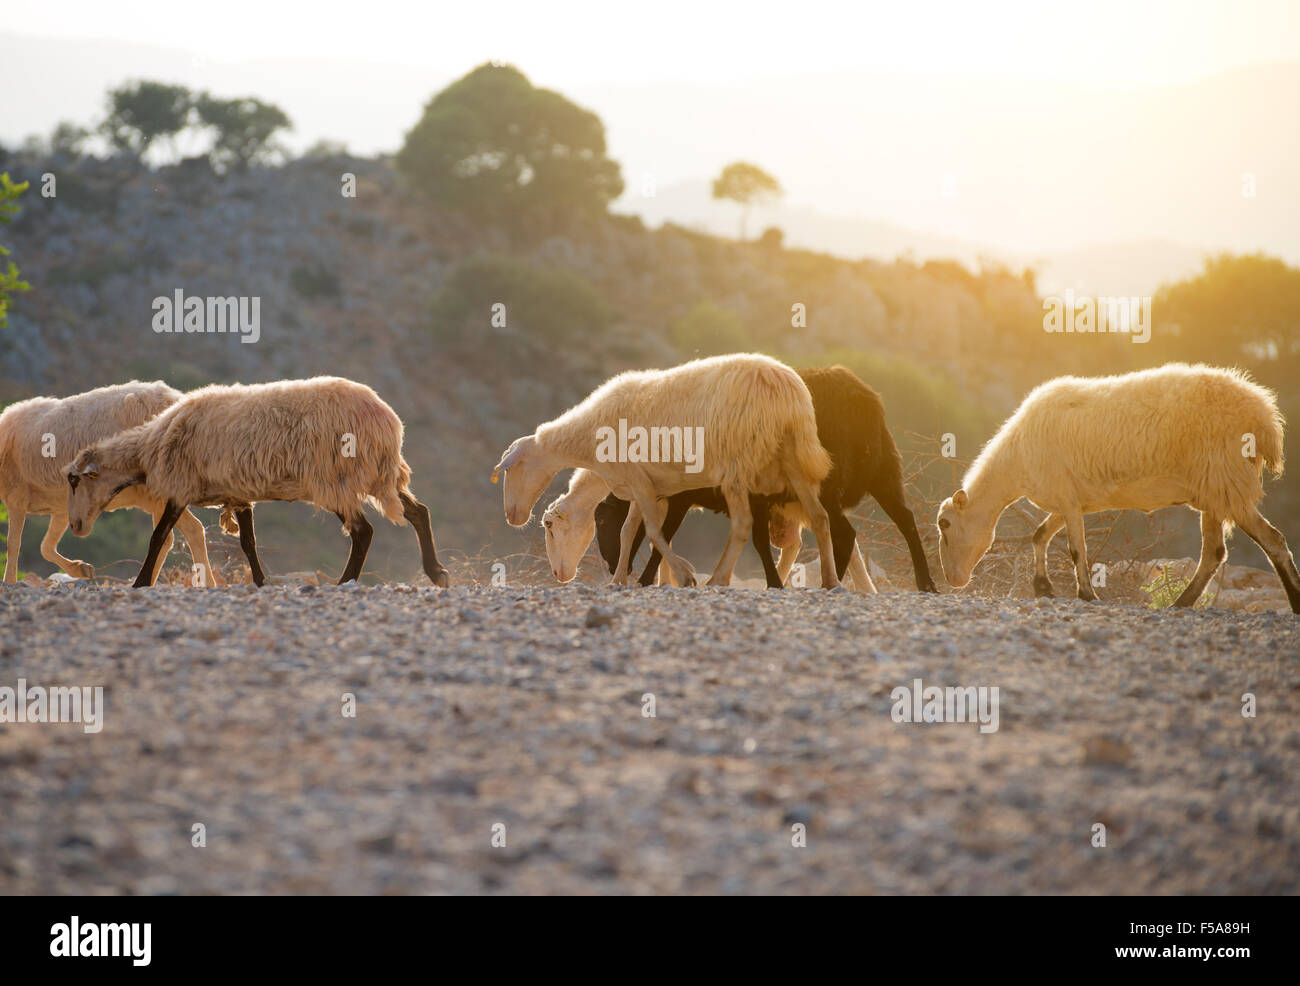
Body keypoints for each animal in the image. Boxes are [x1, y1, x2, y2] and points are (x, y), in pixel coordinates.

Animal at [1, 380, 218, 586]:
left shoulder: (16, 498)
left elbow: (13, 544)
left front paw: (9, 581)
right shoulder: (65, 509)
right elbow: (46, 546)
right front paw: (81, 569)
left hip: (154, 492)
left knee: (180, 533)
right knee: (188, 532)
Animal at [65, 376, 450, 589]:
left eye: (74, 481)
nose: (76, 526)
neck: (148, 447)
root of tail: (388, 420)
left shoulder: (180, 487)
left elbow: (157, 538)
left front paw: (141, 582)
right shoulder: (238, 494)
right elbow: (248, 543)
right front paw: (261, 581)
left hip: (336, 479)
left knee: (363, 532)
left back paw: (346, 582)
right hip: (377, 476)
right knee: (419, 512)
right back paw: (436, 572)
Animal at [493, 353, 841, 588]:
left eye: (549, 526)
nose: (512, 517)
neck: (588, 439)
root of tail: (784, 389)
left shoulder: (643, 485)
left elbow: (652, 533)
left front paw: (683, 576)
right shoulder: (643, 487)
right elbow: (630, 531)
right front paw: (620, 580)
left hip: (737, 467)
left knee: (743, 524)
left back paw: (718, 578)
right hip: (795, 460)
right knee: (821, 517)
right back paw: (831, 580)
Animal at [574, 365, 937, 593]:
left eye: (602, 521)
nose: (611, 564)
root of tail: (860, 396)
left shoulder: (685, 497)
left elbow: (665, 534)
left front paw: (651, 578)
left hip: (829, 483)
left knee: (845, 531)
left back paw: (834, 580)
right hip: (884, 472)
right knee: (905, 520)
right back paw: (925, 583)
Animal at [936, 363, 1300, 613]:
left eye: (945, 525)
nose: (953, 580)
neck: (1016, 462)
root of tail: (1265, 417)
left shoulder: (1067, 501)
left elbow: (1076, 550)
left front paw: (1086, 595)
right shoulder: (1068, 500)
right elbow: (1039, 536)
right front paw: (1043, 587)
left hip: (1226, 482)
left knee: (1272, 541)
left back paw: (1292, 600)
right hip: (1215, 491)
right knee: (1214, 554)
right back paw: (1182, 603)